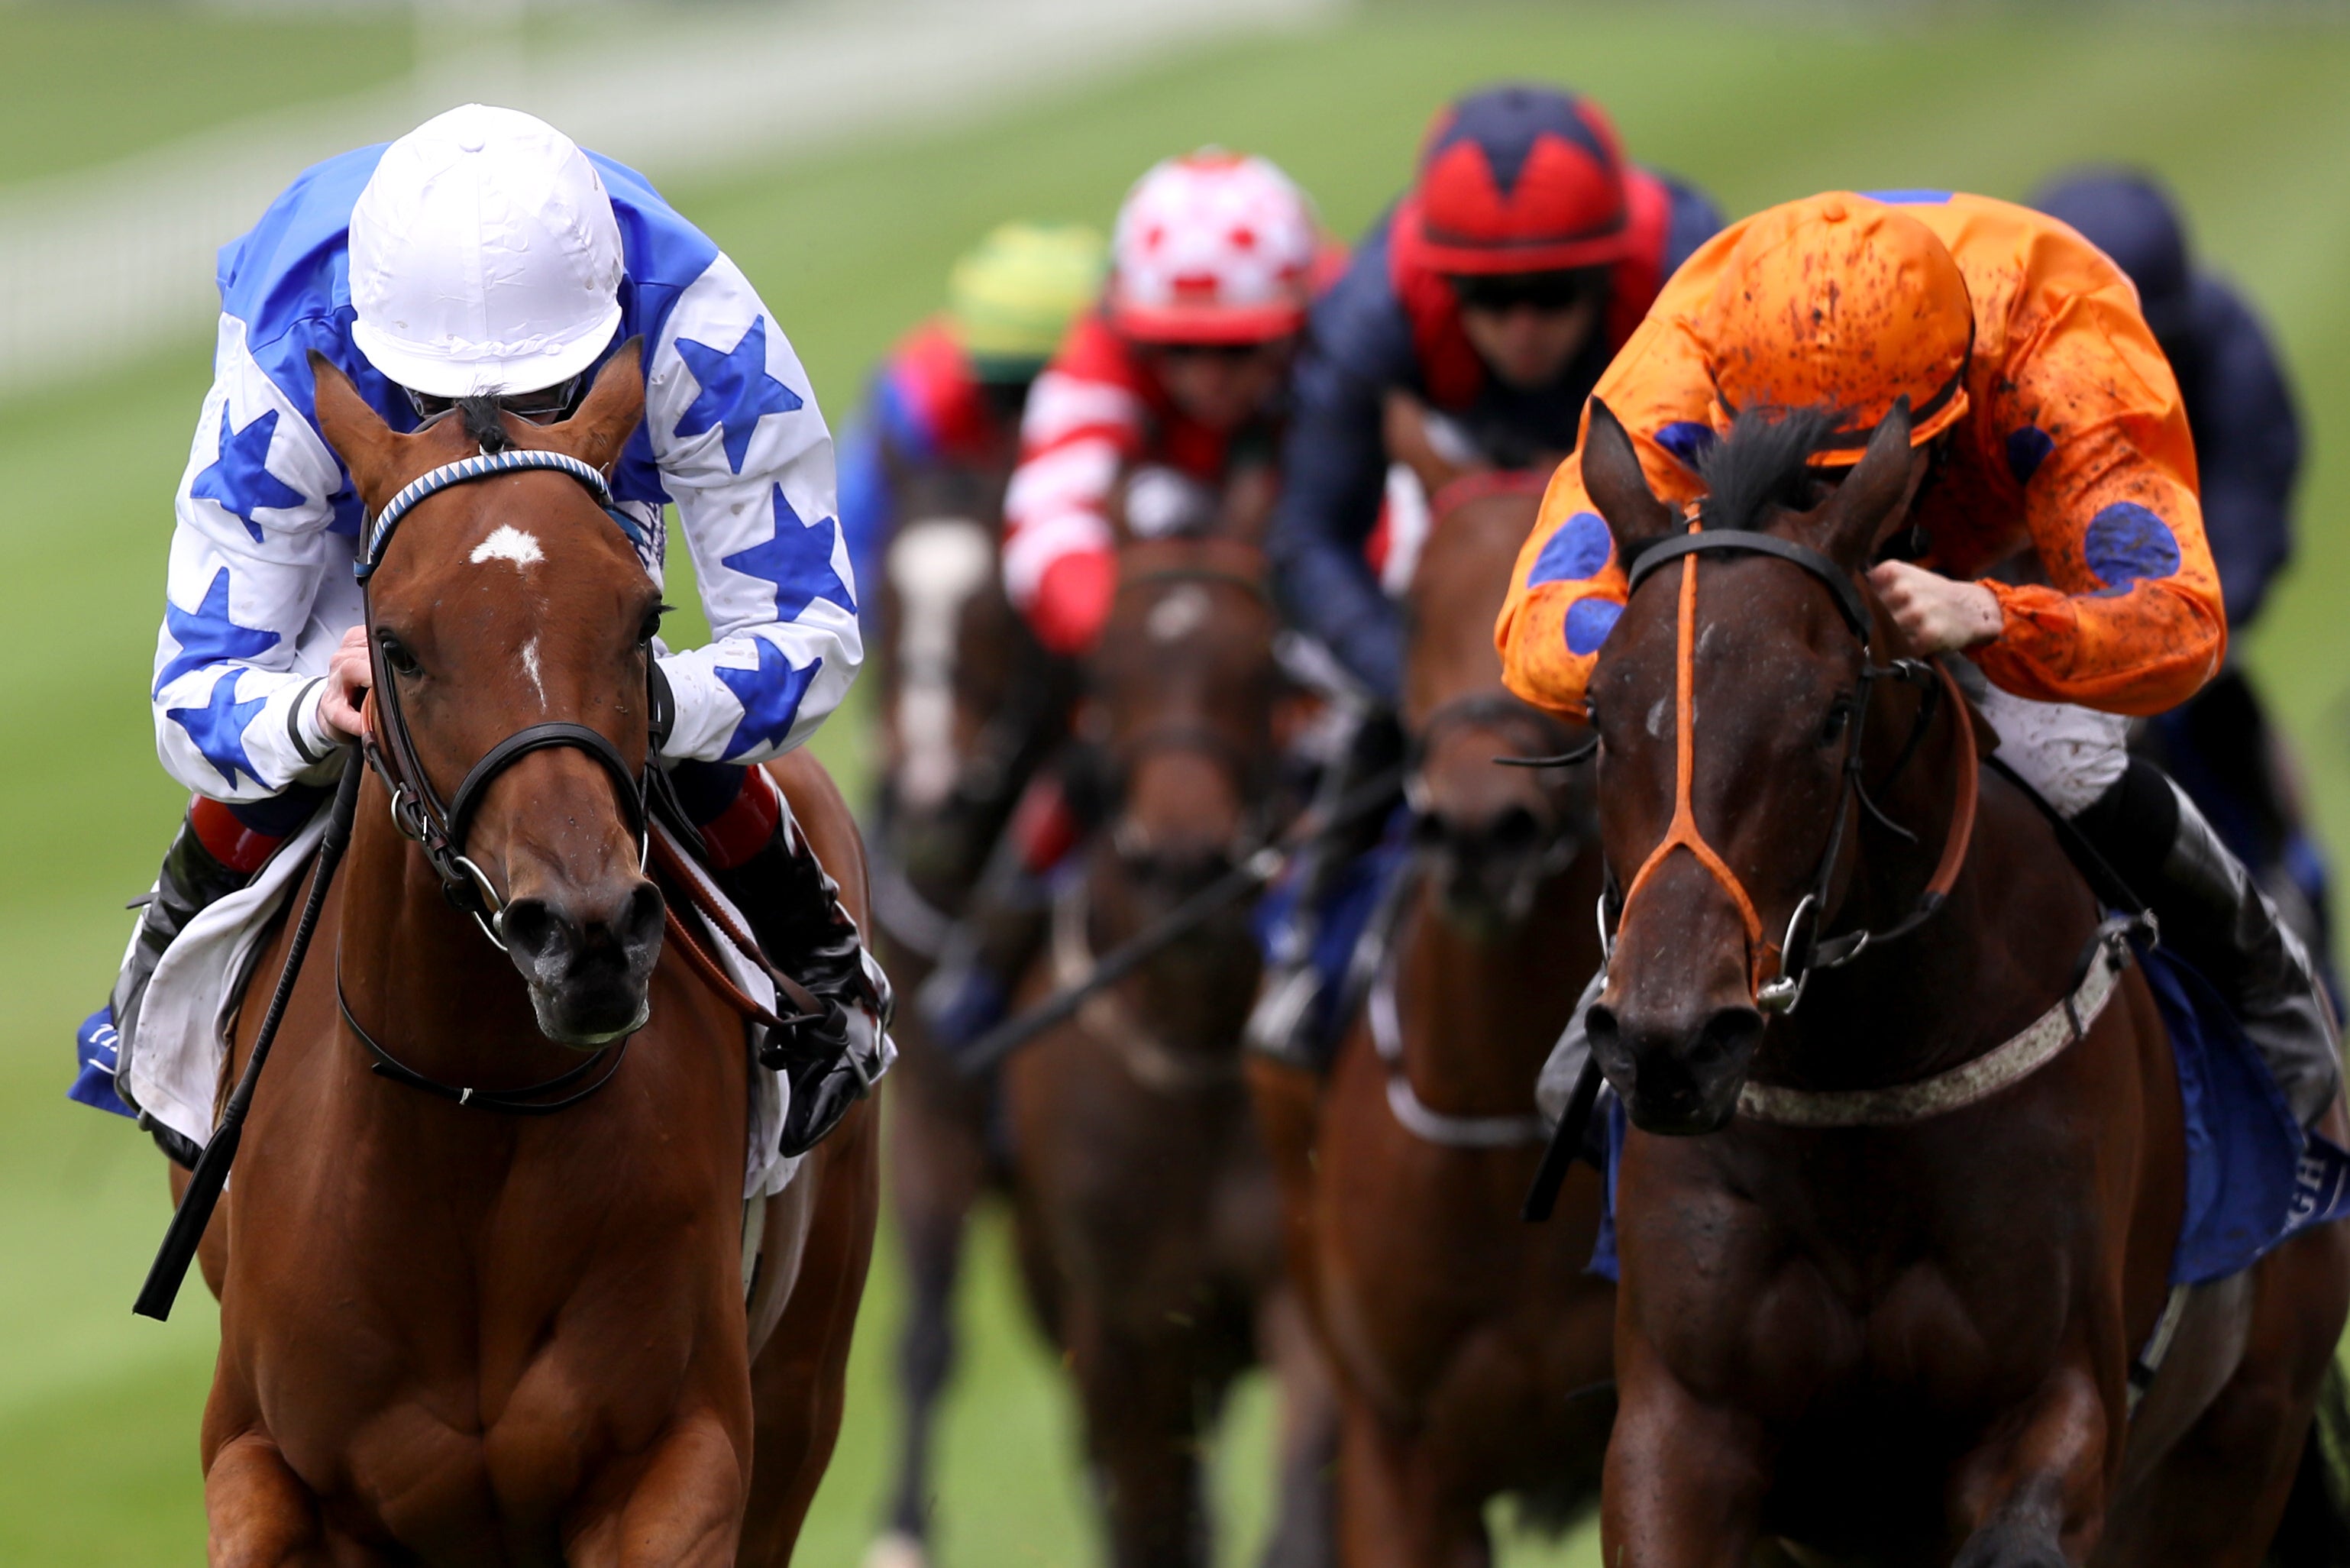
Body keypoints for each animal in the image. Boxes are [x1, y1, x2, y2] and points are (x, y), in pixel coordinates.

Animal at [996, 535, 1344, 1568]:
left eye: (1261, 671)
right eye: (1105, 676)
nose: (1184, 860)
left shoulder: (1298, 1281)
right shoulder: (1119, 1335)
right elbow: (1150, 1519)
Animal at [1569, 399, 2350, 1560]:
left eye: (1829, 715)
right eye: (1599, 716)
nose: (1669, 1041)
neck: (1860, 1098)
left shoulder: (2051, 1407)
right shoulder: (1681, 1423)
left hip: (2239, 1440)